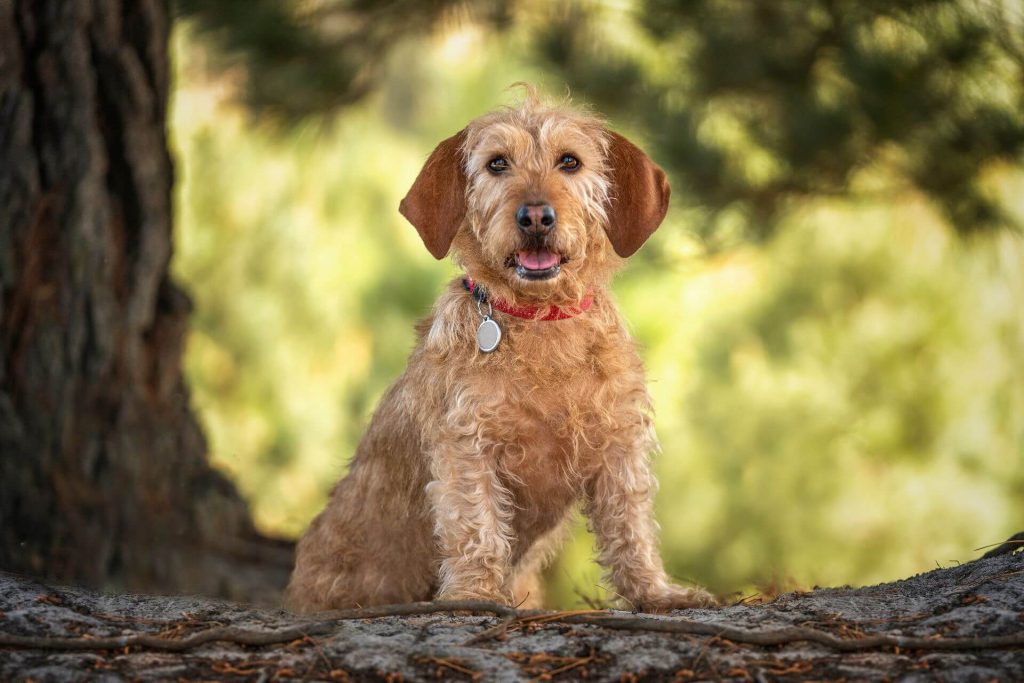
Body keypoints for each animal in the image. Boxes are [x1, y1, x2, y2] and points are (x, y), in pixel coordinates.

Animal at [286, 89, 720, 614]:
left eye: (570, 161)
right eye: (497, 163)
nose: (535, 216)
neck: (541, 322)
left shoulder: (619, 445)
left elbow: (630, 526)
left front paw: (656, 592)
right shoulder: (467, 446)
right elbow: (477, 524)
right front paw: (474, 595)